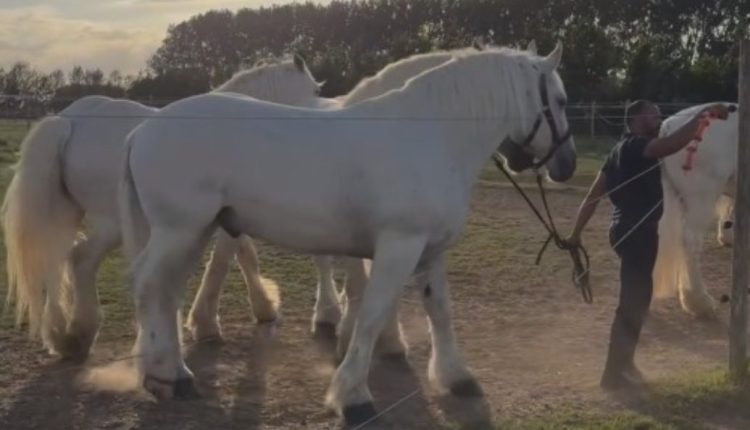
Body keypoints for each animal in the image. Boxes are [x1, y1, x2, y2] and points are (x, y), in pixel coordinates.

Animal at [119, 42, 576, 424]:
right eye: (559, 100)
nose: (567, 165)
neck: (428, 137)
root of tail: (141, 131)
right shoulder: (399, 245)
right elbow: (372, 313)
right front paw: (353, 396)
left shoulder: (431, 251)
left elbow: (439, 311)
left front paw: (456, 377)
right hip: (178, 230)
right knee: (146, 284)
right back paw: (164, 375)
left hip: (193, 232)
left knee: (167, 292)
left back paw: (173, 374)